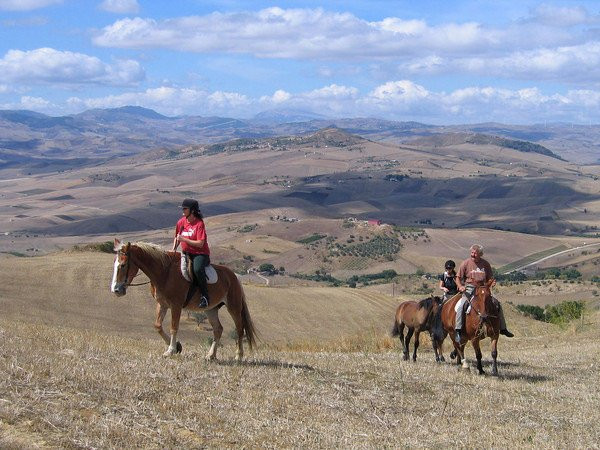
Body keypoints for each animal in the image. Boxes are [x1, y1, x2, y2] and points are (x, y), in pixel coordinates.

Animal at [111, 241, 256, 360]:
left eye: (123, 265)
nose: (116, 290)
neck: (164, 273)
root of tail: (234, 277)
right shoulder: (162, 304)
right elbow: (158, 326)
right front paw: (177, 346)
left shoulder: (176, 306)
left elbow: (173, 327)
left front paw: (171, 350)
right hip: (211, 309)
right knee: (218, 329)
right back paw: (211, 355)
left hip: (234, 307)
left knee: (240, 329)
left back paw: (238, 355)